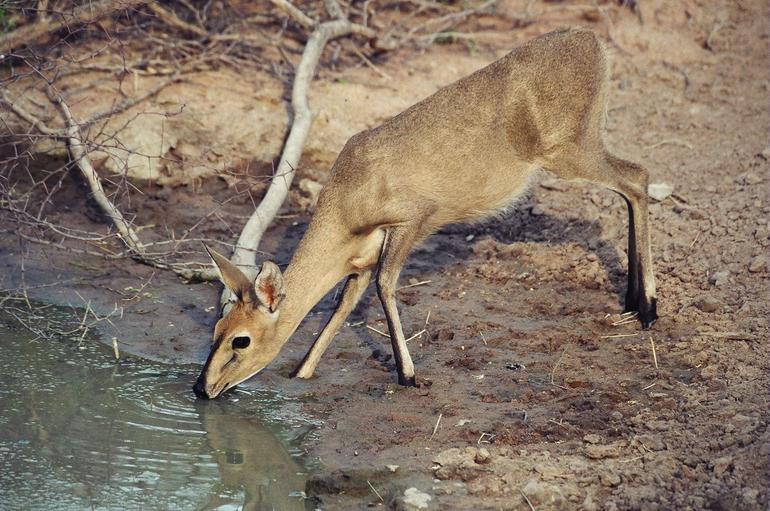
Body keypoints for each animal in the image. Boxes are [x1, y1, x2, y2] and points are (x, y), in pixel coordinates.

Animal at [192, 29, 656, 400]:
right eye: (215, 330)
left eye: (240, 341)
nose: (201, 388)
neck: (348, 203)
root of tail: (594, 41)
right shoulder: (361, 258)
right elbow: (343, 305)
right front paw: (301, 372)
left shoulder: (413, 218)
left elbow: (386, 285)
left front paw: (408, 375)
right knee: (632, 185)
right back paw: (633, 302)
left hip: (570, 148)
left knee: (638, 176)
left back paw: (649, 307)